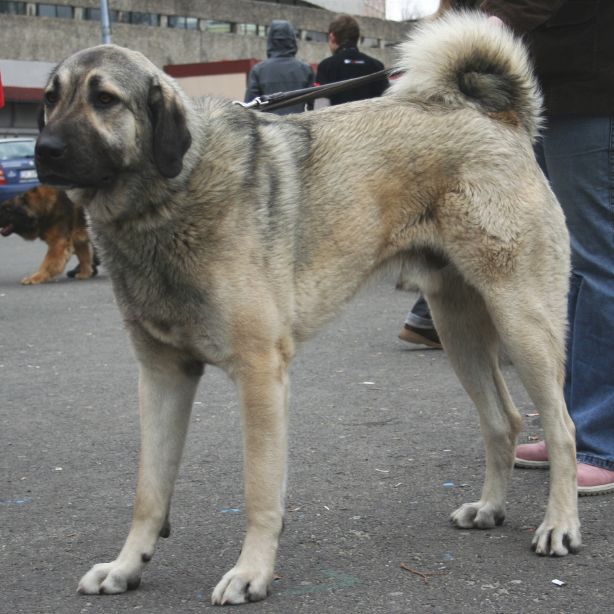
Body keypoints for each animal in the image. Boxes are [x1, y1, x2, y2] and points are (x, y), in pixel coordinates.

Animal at [33, 13, 584, 608]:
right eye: (50, 98)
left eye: (105, 99)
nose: (43, 150)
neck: (168, 194)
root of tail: (499, 119)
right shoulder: (162, 376)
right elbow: (148, 492)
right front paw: (126, 565)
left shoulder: (260, 376)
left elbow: (259, 492)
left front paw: (251, 572)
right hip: (458, 329)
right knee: (503, 420)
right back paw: (489, 508)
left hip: (524, 324)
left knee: (561, 428)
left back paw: (560, 524)